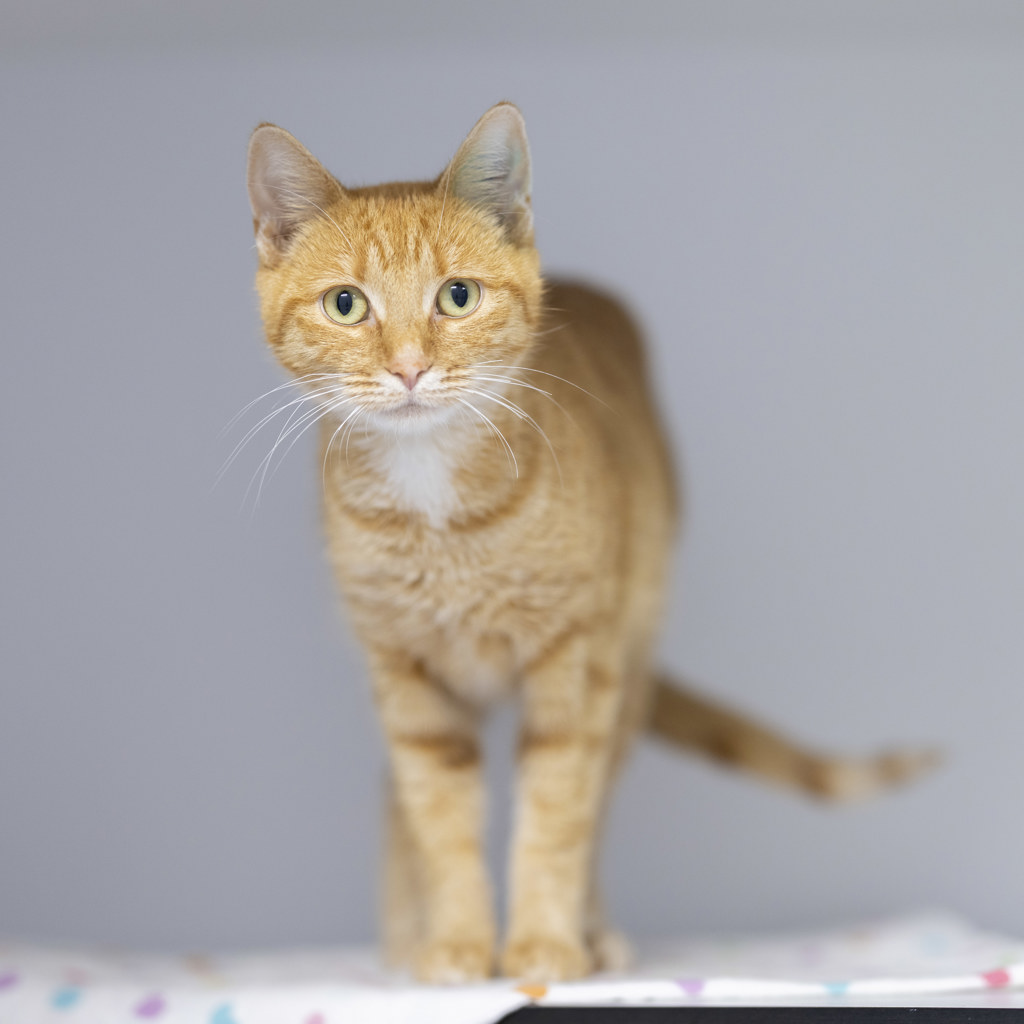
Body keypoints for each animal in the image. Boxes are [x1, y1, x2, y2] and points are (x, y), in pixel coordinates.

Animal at [244, 102, 935, 984]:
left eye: (457, 297)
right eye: (345, 305)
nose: (408, 369)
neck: (437, 509)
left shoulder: (573, 663)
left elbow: (556, 816)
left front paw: (543, 946)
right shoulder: (406, 677)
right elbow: (439, 819)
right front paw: (458, 944)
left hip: (628, 663)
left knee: (597, 803)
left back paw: (593, 931)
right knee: (396, 796)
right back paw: (408, 936)